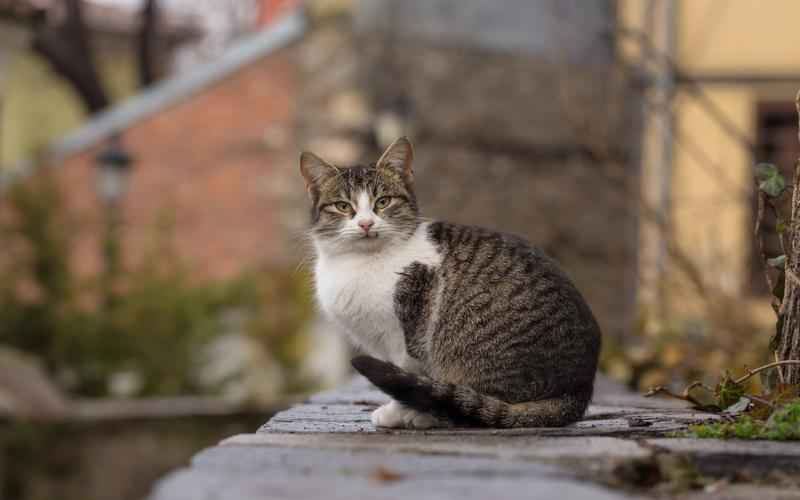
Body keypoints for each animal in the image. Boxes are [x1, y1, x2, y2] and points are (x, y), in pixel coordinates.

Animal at [300, 137, 600, 430]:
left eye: (383, 202)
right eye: (343, 206)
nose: (365, 223)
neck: (361, 260)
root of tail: (578, 391)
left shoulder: (406, 334)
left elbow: (408, 375)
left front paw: (398, 412)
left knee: (474, 404)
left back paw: (425, 415)